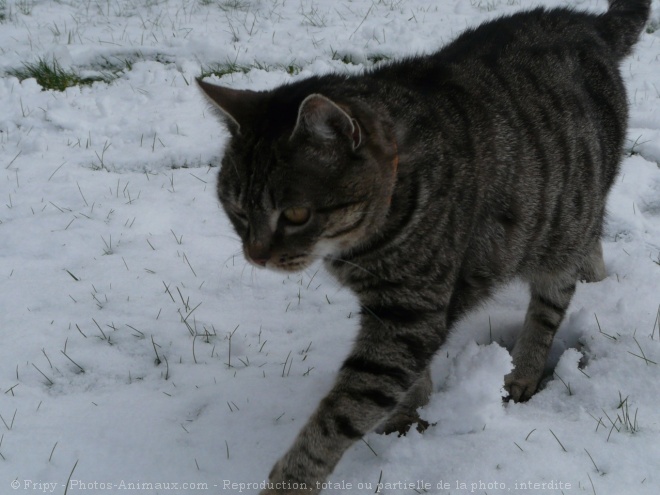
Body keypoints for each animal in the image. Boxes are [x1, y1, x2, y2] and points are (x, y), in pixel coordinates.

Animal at [196, 1, 648, 494]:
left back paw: (525, 370)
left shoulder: (409, 314)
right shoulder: (396, 314)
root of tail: (587, 22)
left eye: (296, 215)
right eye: (238, 210)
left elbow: (340, 414)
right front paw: (409, 419)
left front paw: (291, 479)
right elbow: (410, 384)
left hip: (562, 223)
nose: (256, 255)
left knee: (551, 301)